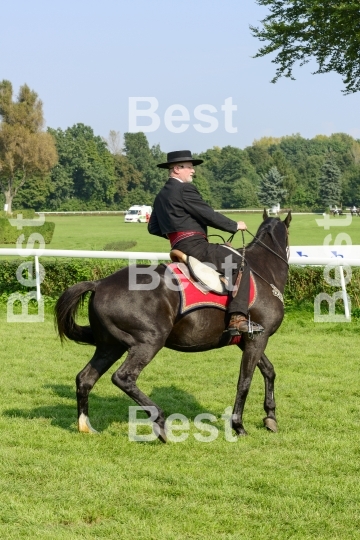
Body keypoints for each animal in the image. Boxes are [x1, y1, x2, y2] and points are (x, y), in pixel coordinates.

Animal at [56, 209, 292, 440]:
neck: (263, 270)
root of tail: (100, 283)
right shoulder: (257, 339)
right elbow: (245, 381)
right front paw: (238, 426)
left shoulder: (248, 340)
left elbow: (269, 371)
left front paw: (270, 417)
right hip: (148, 343)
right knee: (123, 378)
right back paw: (159, 421)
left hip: (110, 346)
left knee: (85, 378)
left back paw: (85, 426)